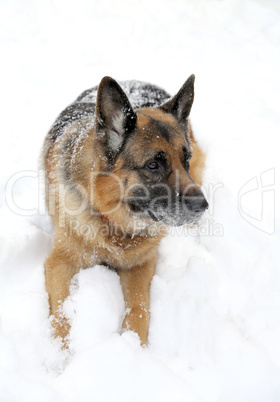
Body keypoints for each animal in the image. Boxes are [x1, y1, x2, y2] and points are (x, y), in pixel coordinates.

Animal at [42, 74, 208, 346]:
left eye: (185, 159)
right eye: (153, 165)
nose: (203, 206)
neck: (114, 224)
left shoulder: (141, 265)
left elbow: (139, 308)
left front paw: (133, 347)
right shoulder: (59, 263)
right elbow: (60, 313)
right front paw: (60, 352)